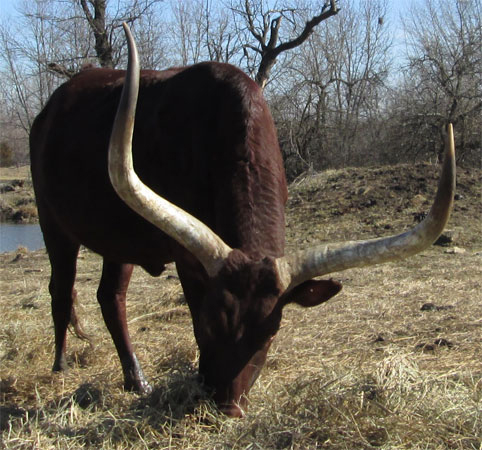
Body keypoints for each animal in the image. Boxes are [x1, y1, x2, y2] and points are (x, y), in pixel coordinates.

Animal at [31, 23, 456, 418]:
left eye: (270, 333)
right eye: (210, 324)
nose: (228, 406)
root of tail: (51, 106)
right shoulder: (186, 260)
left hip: (119, 240)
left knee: (110, 297)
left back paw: (136, 380)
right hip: (53, 225)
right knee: (61, 289)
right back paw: (61, 366)